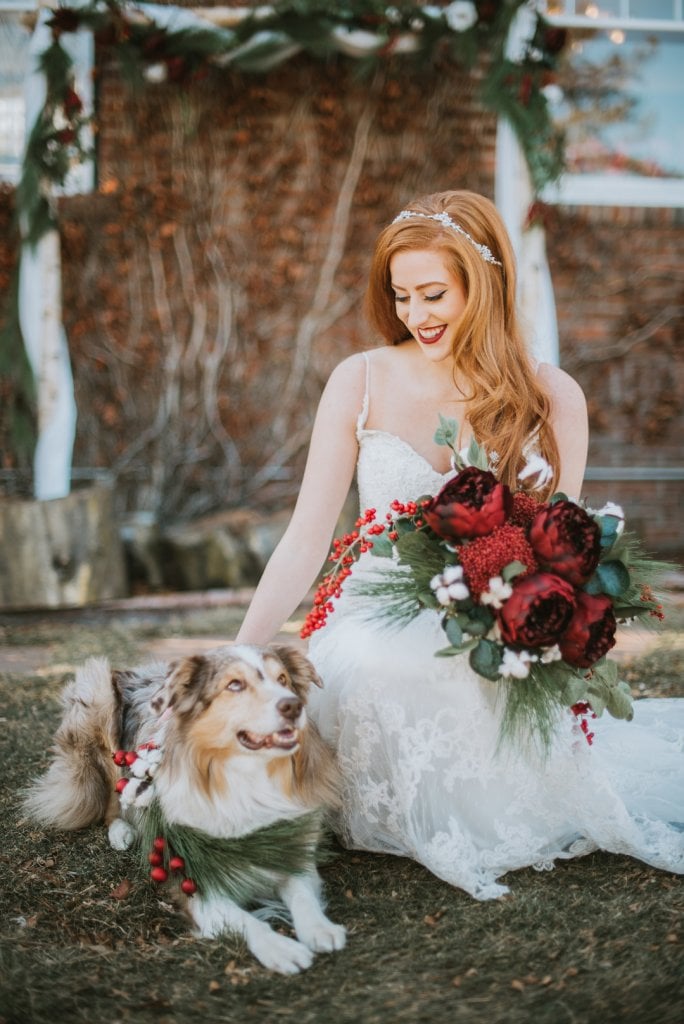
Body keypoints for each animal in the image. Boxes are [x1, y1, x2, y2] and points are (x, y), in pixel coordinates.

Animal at [23, 643, 344, 970]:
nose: (294, 706)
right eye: (234, 684)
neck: (244, 776)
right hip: (100, 701)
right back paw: (122, 832)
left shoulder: (289, 846)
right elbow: (244, 920)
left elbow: (302, 893)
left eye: (283, 680)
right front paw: (280, 949)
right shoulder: (191, 880)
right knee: (111, 804)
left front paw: (320, 928)